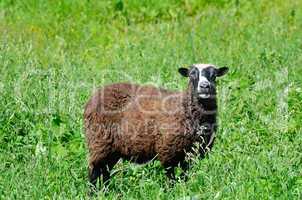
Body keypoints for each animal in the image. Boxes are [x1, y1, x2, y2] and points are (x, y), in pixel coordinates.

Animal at [84, 63, 228, 189]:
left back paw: (104, 191)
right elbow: (171, 177)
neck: (184, 108)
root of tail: (93, 98)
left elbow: (184, 176)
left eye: (214, 75)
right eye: (192, 74)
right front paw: (172, 191)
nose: (204, 86)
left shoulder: (191, 154)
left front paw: (184, 189)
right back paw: (93, 192)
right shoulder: (168, 150)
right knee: (94, 171)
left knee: (104, 172)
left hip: (112, 149)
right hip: (99, 142)